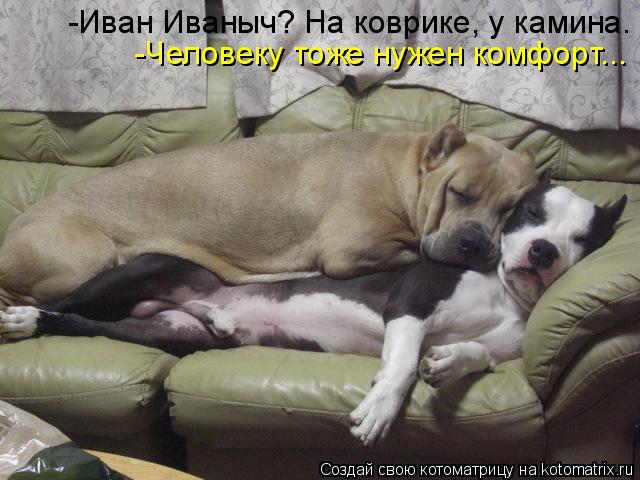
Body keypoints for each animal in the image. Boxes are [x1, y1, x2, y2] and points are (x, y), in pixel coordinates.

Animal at [0, 126, 536, 308]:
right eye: (459, 193)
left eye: (511, 208)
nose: (475, 244)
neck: (404, 172)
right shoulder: (349, 251)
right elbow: (408, 253)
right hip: (86, 257)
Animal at [0, 180, 626, 447]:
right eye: (530, 214)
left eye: (583, 237)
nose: (543, 251)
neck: (505, 295)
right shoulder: (409, 304)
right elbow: (399, 367)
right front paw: (380, 410)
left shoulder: (496, 347)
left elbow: (473, 355)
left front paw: (448, 362)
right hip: (135, 272)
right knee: (61, 305)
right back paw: (20, 319)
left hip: (169, 334)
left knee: (92, 324)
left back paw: (217, 318)